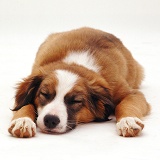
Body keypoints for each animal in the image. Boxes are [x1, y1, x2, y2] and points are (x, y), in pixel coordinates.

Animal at [7, 27, 150, 138]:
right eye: (44, 94)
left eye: (76, 101)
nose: (50, 120)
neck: (75, 65)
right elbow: (25, 105)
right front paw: (23, 121)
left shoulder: (129, 92)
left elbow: (125, 104)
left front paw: (128, 120)